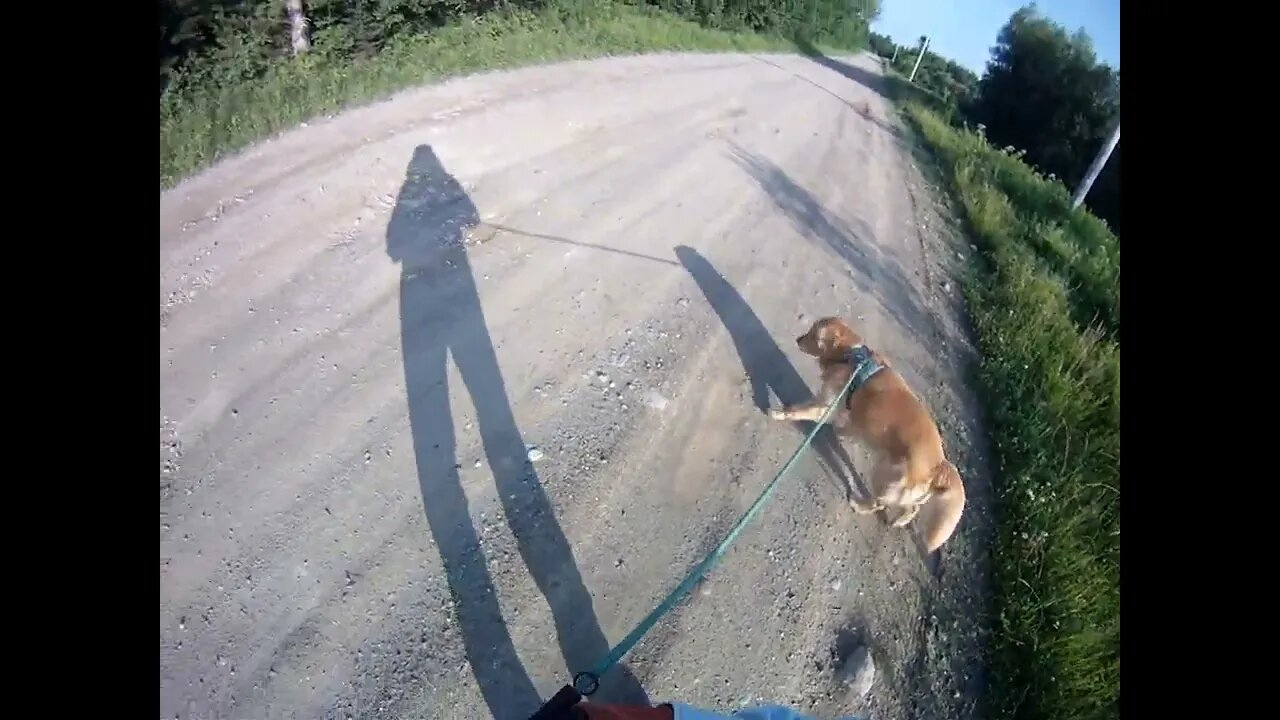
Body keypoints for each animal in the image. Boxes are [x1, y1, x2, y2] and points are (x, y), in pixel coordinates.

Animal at [762, 316, 962, 550]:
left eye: (814, 335)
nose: (798, 339)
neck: (850, 356)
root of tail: (939, 466)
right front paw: (840, 429)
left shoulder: (826, 406)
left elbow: (799, 411)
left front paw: (779, 413)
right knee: (911, 509)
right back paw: (899, 521)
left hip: (883, 473)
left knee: (878, 503)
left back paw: (859, 505)